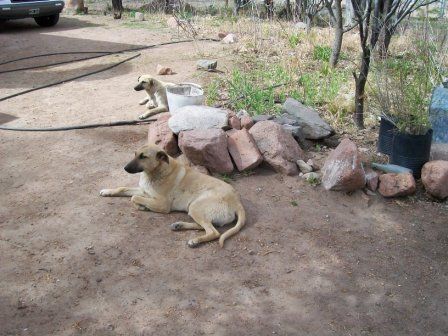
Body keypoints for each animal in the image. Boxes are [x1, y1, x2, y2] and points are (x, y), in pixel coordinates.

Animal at [100, 144, 247, 247]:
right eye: (135, 154)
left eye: (143, 156)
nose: (125, 168)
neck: (155, 172)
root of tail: (237, 202)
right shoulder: (144, 190)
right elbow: (122, 188)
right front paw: (107, 191)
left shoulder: (162, 204)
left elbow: (133, 198)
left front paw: (142, 207)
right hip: (195, 210)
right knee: (205, 226)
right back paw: (179, 226)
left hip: (195, 206)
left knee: (214, 232)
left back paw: (195, 241)